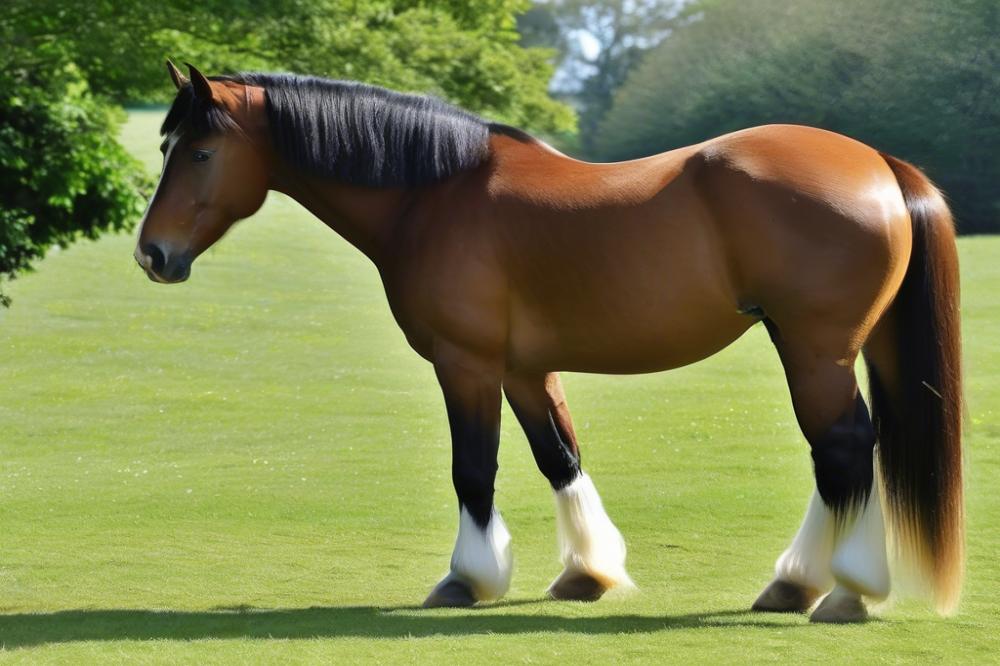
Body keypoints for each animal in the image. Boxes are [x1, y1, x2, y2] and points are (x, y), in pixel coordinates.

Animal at [133, 62, 960, 624]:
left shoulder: (465, 364)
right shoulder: (526, 370)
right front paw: (587, 574)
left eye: (198, 152)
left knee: (843, 449)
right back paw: (799, 584)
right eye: (168, 144)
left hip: (816, 349)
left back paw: (841, 589)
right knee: (841, 456)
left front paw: (467, 579)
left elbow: (474, 469)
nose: (152, 255)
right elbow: (559, 456)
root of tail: (877, 163)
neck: (435, 194)